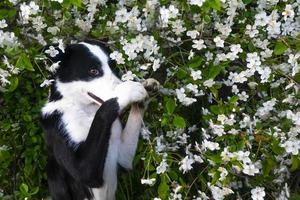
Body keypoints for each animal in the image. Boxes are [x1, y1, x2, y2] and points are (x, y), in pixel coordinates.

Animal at [40, 39, 158, 199]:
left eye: (114, 67)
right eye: (93, 71)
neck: (85, 109)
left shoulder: (122, 156)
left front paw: (147, 88)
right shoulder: (82, 168)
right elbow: (105, 109)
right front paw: (127, 90)